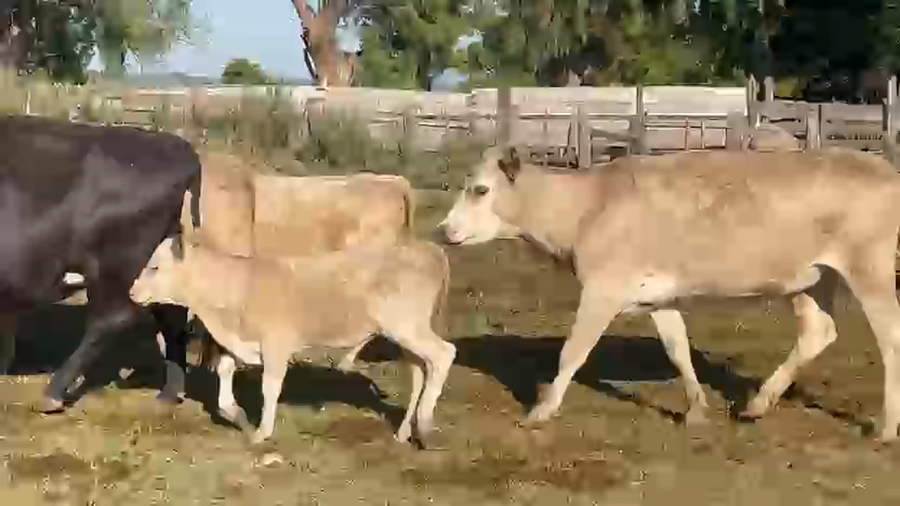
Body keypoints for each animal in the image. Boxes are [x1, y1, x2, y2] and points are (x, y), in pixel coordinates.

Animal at [0, 113, 202, 411]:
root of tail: (177, 145)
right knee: (172, 312)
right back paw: (170, 393)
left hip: (114, 262)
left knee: (110, 319)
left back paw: (55, 391)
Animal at [129, 233, 457, 447]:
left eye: (155, 267)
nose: (132, 292)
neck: (238, 287)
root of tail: (427, 248)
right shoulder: (239, 344)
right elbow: (223, 384)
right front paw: (239, 417)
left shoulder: (276, 344)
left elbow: (270, 388)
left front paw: (262, 432)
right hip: (405, 335)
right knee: (420, 373)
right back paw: (403, 434)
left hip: (407, 327)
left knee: (444, 354)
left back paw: (425, 426)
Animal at [436, 145, 900, 442]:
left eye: (480, 190)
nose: (443, 230)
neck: (589, 205)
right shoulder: (657, 295)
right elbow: (678, 349)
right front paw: (695, 410)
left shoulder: (602, 289)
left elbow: (573, 351)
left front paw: (542, 410)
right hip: (813, 278)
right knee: (817, 332)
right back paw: (758, 404)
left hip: (870, 269)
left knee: (890, 338)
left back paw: (886, 428)